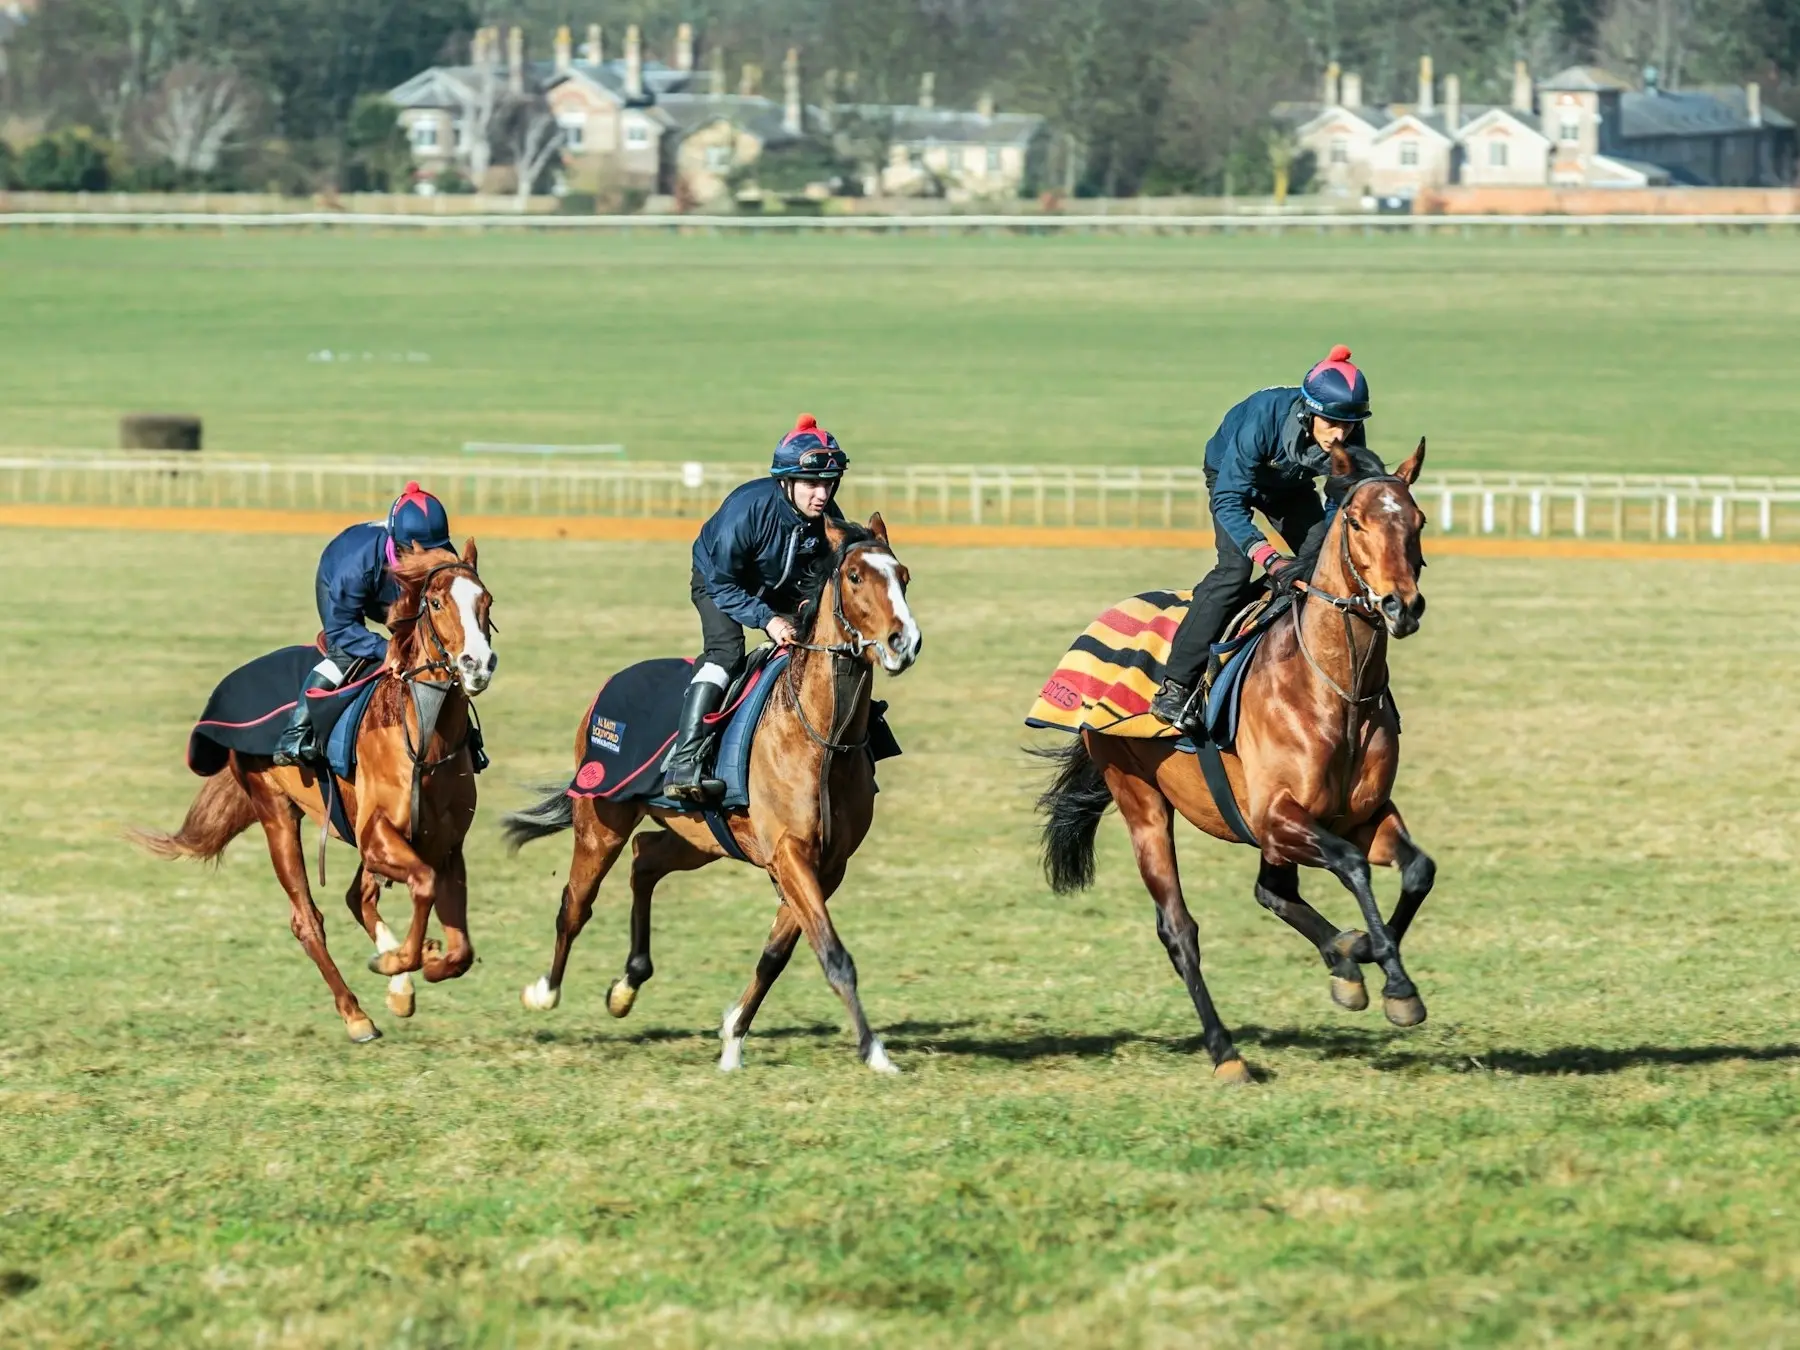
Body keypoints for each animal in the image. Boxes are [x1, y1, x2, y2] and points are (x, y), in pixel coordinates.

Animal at [132, 543, 500, 1044]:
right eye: (438, 603)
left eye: (487, 601)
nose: (476, 664)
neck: (426, 737)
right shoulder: (378, 835)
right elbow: (422, 885)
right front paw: (397, 961)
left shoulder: (443, 844)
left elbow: (459, 950)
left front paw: (421, 961)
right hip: (277, 813)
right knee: (308, 919)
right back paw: (357, 1015)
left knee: (356, 897)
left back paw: (399, 986)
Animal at [507, 518, 928, 1080]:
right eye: (856, 575)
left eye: (903, 576)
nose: (904, 642)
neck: (821, 736)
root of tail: (609, 686)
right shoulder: (791, 854)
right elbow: (834, 955)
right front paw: (875, 1052)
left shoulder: (825, 864)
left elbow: (776, 956)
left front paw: (732, 1038)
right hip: (600, 821)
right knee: (576, 903)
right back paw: (545, 992)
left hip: (701, 837)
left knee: (645, 859)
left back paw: (626, 986)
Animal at [1044, 444, 1432, 1087]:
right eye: (1356, 523)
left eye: (1419, 521)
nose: (1402, 606)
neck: (1338, 690)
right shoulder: (1275, 816)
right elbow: (1353, 866)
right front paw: (1393, 980)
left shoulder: (1361, 814)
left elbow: (1418, 869)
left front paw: (1366, 955)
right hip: (1140, 800)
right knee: (1179, 929)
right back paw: (1227, 1052)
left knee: (1270, 890)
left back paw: (1343, 962)